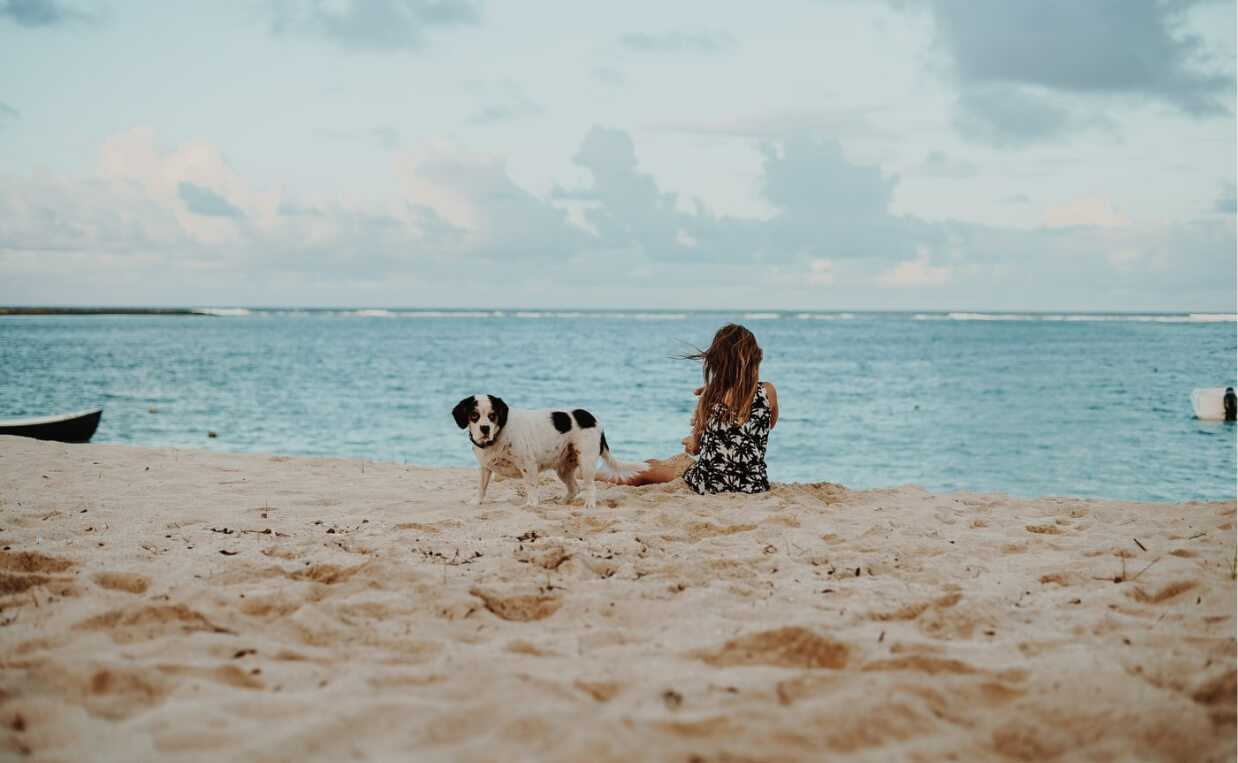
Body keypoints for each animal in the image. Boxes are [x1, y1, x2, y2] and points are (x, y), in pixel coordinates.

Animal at [453, 396, 643, 510]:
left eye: (493, 415)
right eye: (474, 415)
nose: (484, 428)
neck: (498, 435)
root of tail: (594, 420)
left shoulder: (528, 466)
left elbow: (531, 487)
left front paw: (531, 504)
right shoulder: (485, 468)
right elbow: (481, 487)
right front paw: (476, 502)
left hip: (586, 463)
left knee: (591, 487)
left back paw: (589, 504)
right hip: (563, 469)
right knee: (575, 488)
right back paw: (563, 502)